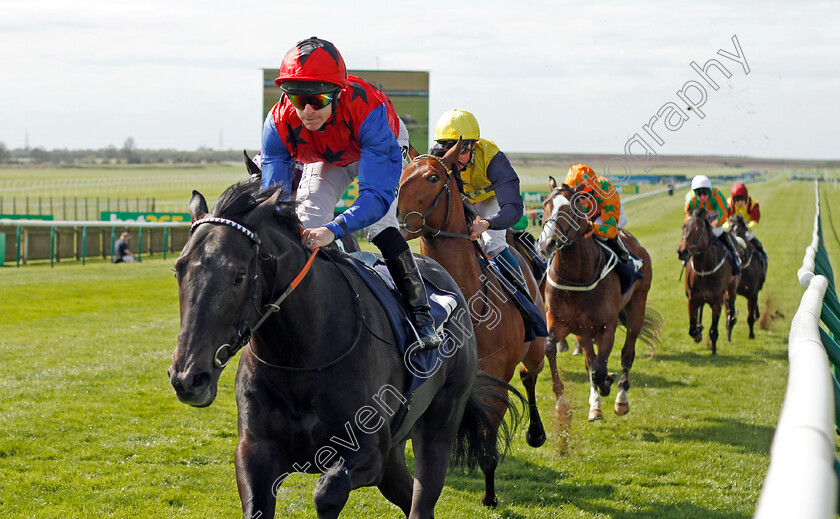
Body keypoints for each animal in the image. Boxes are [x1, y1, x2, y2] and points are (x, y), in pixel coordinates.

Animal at [164, 181, 508, 516]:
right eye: (178, 269)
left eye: (238, 275)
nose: (188, 378)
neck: (300, 357)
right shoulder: (255, 452)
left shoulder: (368, 451)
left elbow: (328, 492)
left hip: (442, 417)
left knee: (422, 498)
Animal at [396, 145, 564, 508]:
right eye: (401, 174)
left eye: (433, 177)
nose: (396, 216)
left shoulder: (495, 381)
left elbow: (488, 445)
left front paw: (490, 495)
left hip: (533, 351)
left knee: (530, 376)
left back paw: (536, 433)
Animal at [540, 179, 664, 422]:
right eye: (544, 205)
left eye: (571, 209)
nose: (546, 243)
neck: (577, 276)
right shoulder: (562, 322)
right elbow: (553, 349)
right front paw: (563, 403)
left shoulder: (608, 326)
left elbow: (600, 369)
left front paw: (608, 384)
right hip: (584, 329)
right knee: (591, 360)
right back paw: (596, 403)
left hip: (637, 307)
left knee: (627, 354)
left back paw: (621, 399)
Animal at [680, 207, 740, 354]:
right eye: (684, 227)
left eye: (699, 229)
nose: (682, 251)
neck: (704, 269)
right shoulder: (692, 298)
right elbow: (691, 329)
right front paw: (697, 332)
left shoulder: (717, 300)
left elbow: (713, 330)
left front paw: (713, 350)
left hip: (732, 286)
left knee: (731, 301)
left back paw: (732, 319)